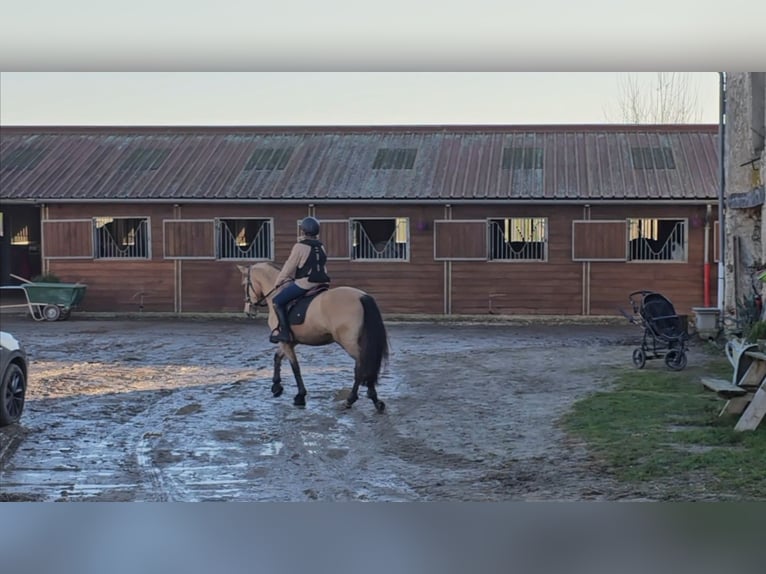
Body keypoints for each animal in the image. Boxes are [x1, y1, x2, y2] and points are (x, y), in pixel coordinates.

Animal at [238, 264, 390, 416]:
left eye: (244, 284)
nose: (248, 311)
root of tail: (361, 296)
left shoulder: (286, 342)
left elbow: (295, 367)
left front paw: (300, 396)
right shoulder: (290, 342)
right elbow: (277, 357)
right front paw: (276, 387)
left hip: (349, 343)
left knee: (361, 366)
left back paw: (351, 400)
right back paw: (375, 400)